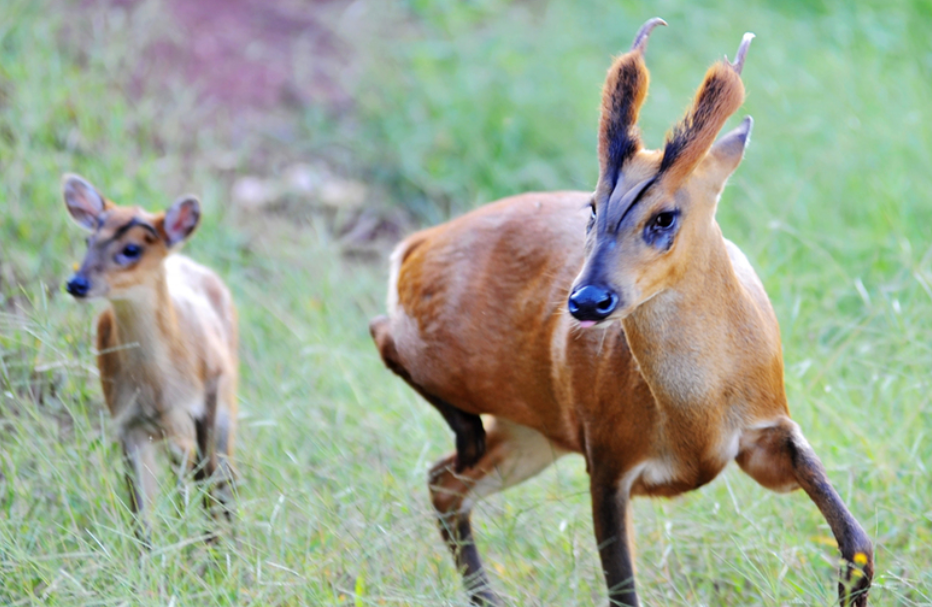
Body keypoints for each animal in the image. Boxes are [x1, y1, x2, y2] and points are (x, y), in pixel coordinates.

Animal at [62, 175, 237, 548]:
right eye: (88, 240)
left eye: (132, 249)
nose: (77, 283)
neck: (156, 385)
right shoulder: (128, 422)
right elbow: (140, 512)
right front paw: (148, 558)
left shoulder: (200, 402)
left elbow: (200, 481)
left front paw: (205, 551)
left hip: (225, 404)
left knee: (220, 477)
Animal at [372, 19, 872, 607]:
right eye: (592, 206)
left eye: (664, 216)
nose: (587, 301)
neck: (693, 416)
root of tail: (417, 244)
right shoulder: (608, 459)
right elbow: (622, 589)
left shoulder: (767, 433)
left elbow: (858, 544)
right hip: (460, 368)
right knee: (386, 339)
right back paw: (463, 432)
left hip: (529, 434)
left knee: (444, 483)